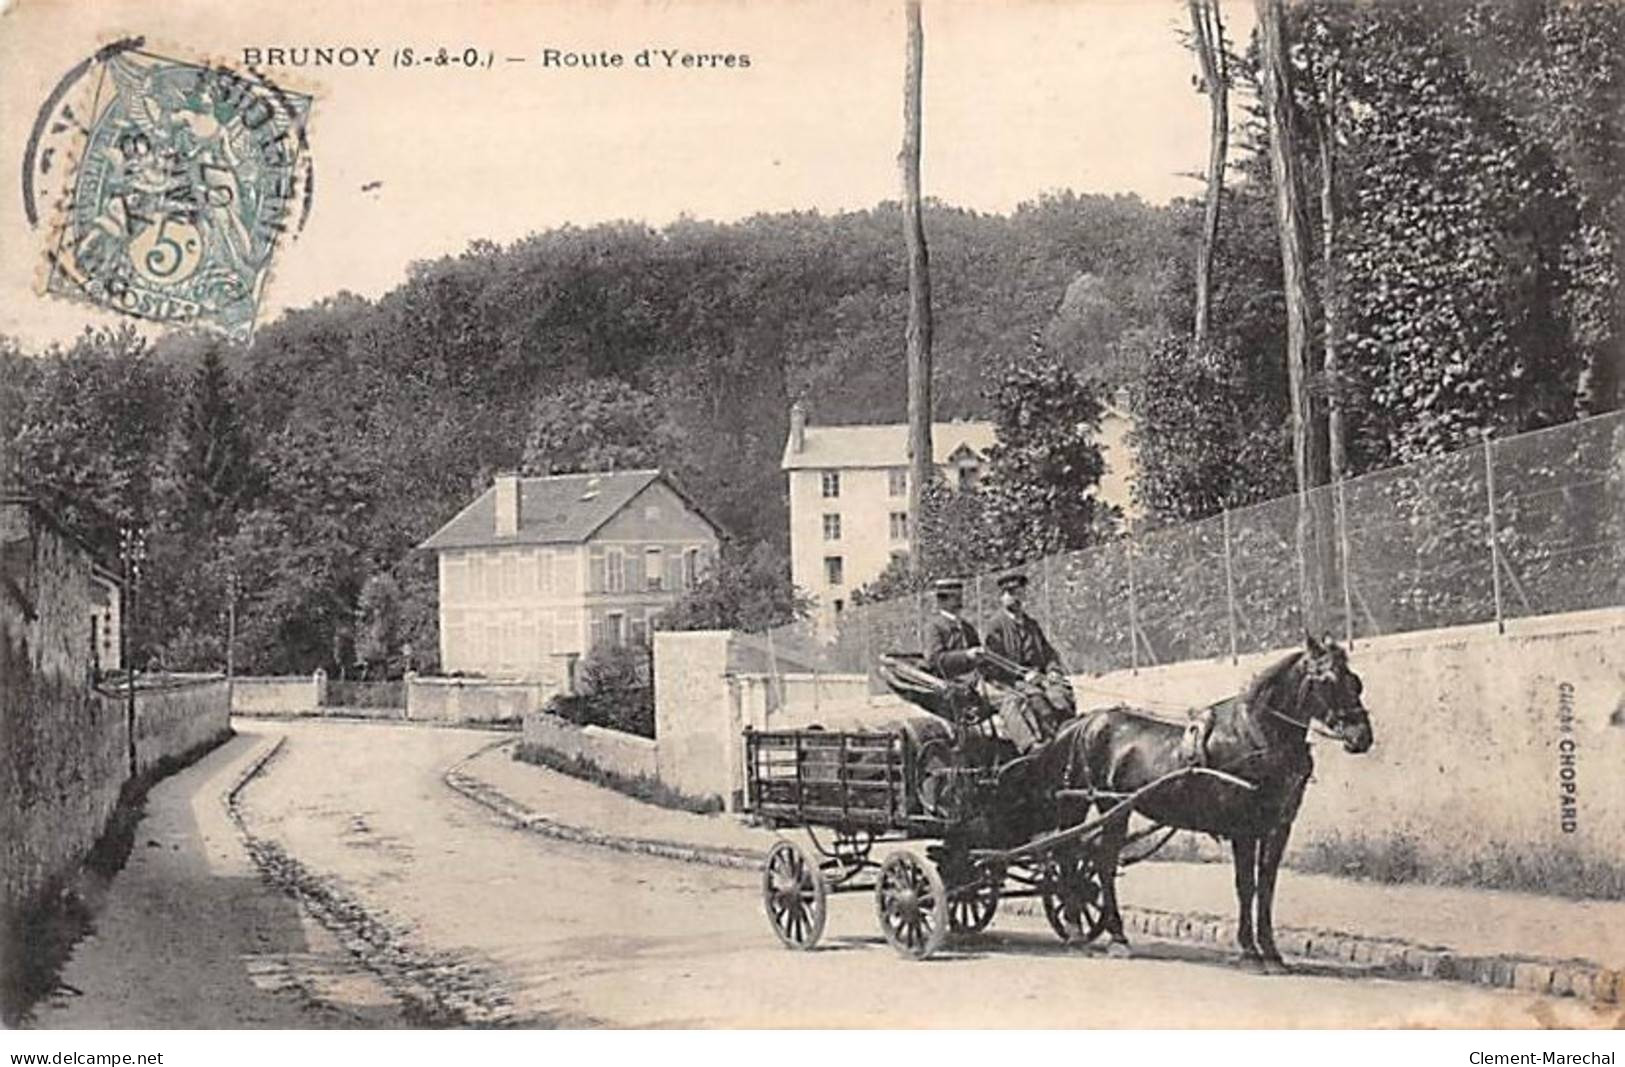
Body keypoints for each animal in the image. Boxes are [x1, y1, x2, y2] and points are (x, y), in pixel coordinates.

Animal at [1046, 633, 1378, 974]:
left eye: (1355, 680)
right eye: (1326, 680)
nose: (1361, 737)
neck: (1259, 737)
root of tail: (1086, 722)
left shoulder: (1278, 827)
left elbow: (1266, 886)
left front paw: (1271, 952)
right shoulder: (1244, 828)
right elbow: (1246, 885)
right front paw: (1250, 951)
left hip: (1110, 808)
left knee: (1088, 859)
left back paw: (1092, 929)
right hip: (1100, 805)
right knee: (1089, 859)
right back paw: (1101, 934)